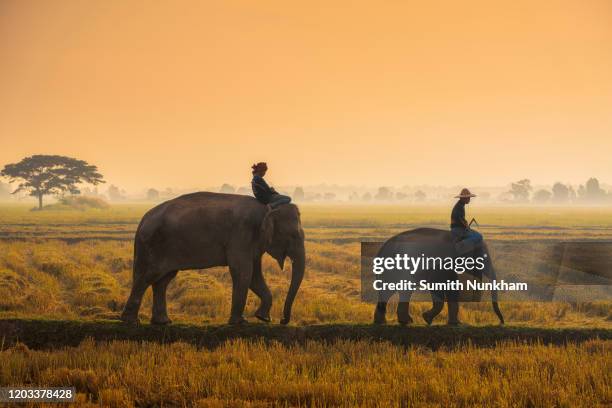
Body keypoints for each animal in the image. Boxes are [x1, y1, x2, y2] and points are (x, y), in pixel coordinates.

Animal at [120, 191, 304, 326]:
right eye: (293, 236)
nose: (283, 321)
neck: (266, 208)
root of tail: (142, 220)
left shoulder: (253, 242)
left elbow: (254, 276)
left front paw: (263, 318)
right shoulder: (241, 235)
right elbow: (243, 271)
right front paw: (240, 322)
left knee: (163, 280)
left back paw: (162, 322)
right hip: (153, 245)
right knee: (149, 276)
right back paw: (131, 322)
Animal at [370, 228, 504, 326]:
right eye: (483, 256)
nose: (501, 322)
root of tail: (382, 250)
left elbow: (452, 288)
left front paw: (455, 323)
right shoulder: (440, 264)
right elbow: (437, 286)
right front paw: (427, 318)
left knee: (395, 291)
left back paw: (390, 322)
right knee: (395, 290)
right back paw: (400, 322)